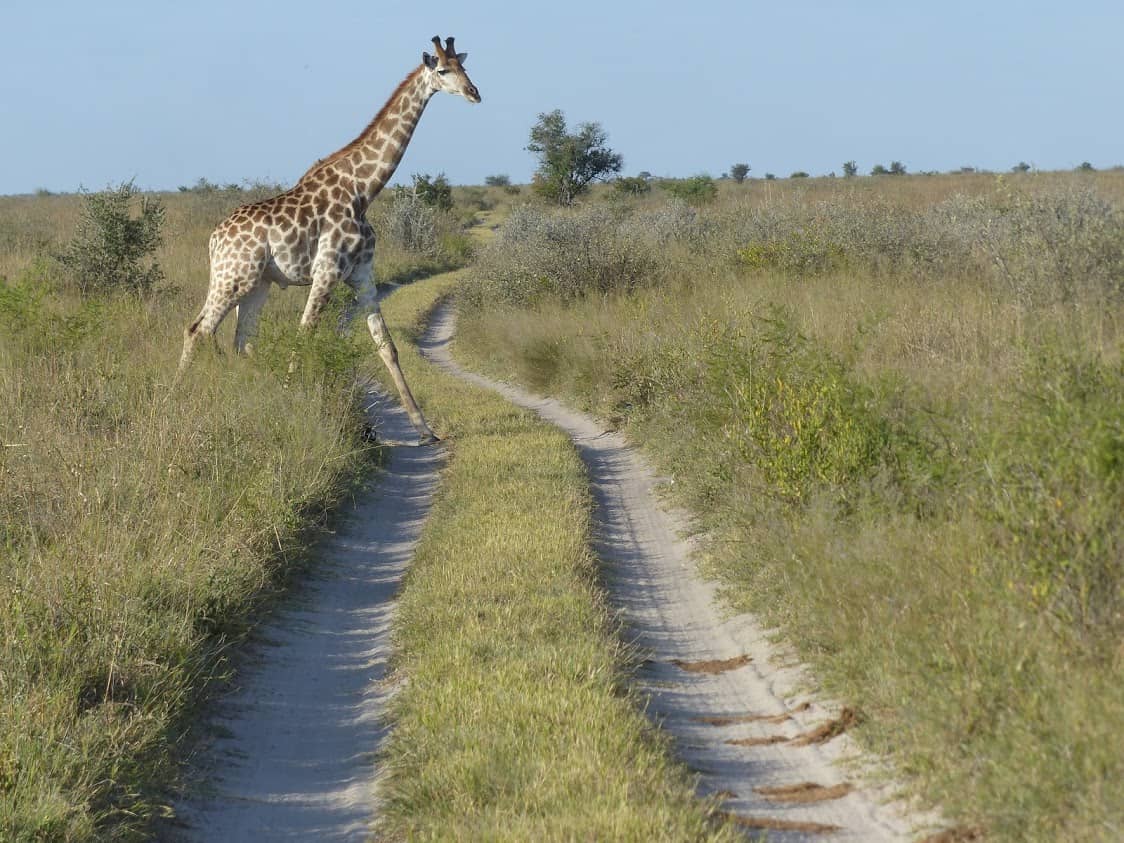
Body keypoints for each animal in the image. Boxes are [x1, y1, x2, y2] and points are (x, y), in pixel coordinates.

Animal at [178, 35, 481, 444]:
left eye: (466, 68)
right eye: (443, 70)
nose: (474, 92)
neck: (364, 189)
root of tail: (213, 239)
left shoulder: (363, 274)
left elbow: (386, 346)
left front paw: (424, 428)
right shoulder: (326, 271)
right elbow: (304, 335)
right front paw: (289, 404)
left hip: (257, 284)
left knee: (240, 340)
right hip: (234, 278)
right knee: (198, 330)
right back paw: (175, 397)